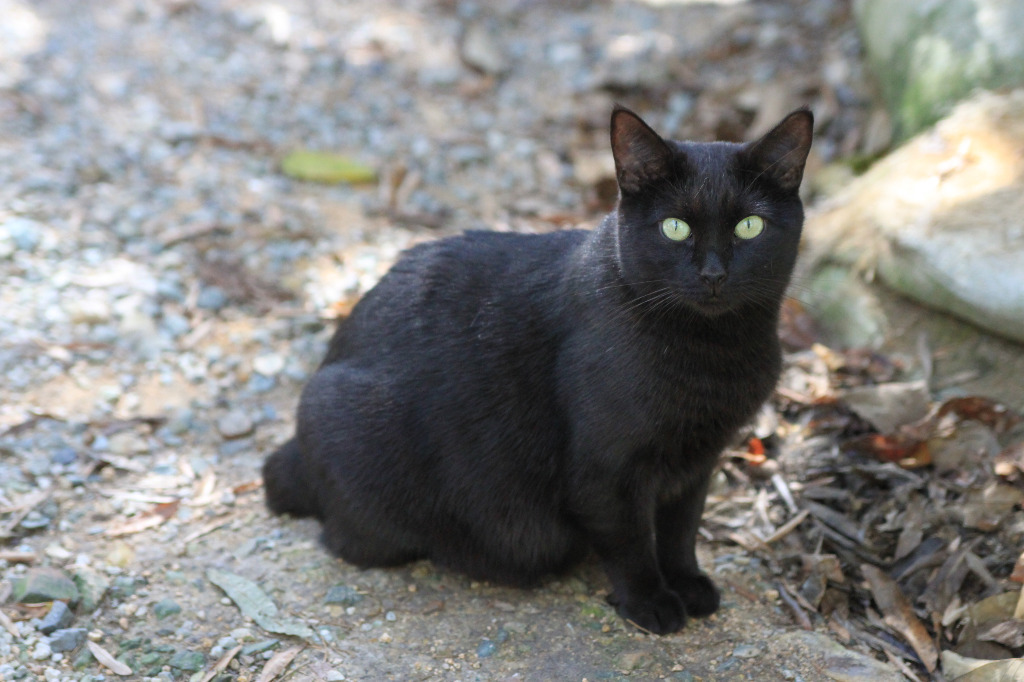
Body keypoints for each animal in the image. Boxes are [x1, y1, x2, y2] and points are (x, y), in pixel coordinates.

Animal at [266, 104, 815, 630]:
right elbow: (631, 541)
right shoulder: (605, 470)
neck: (713, 353)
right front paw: (651, 602)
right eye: (675, 228)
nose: (713, 274)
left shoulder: (698, 461)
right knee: (347, 540)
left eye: (749, 226)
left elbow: (681, 530)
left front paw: (687, 582)